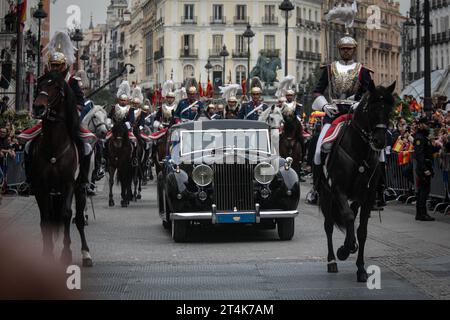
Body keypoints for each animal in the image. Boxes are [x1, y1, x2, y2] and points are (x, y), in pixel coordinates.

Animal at [30, 70, 92, 268]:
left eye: (57, 87)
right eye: (38, 86)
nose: (38, 108)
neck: (53, 148)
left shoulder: (68, 185)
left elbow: (66, 214)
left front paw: (66, 253)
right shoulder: (40, 187)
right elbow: (46, 218)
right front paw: (47, 254)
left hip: (79, 188)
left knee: (78, 218)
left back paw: (86, 253)